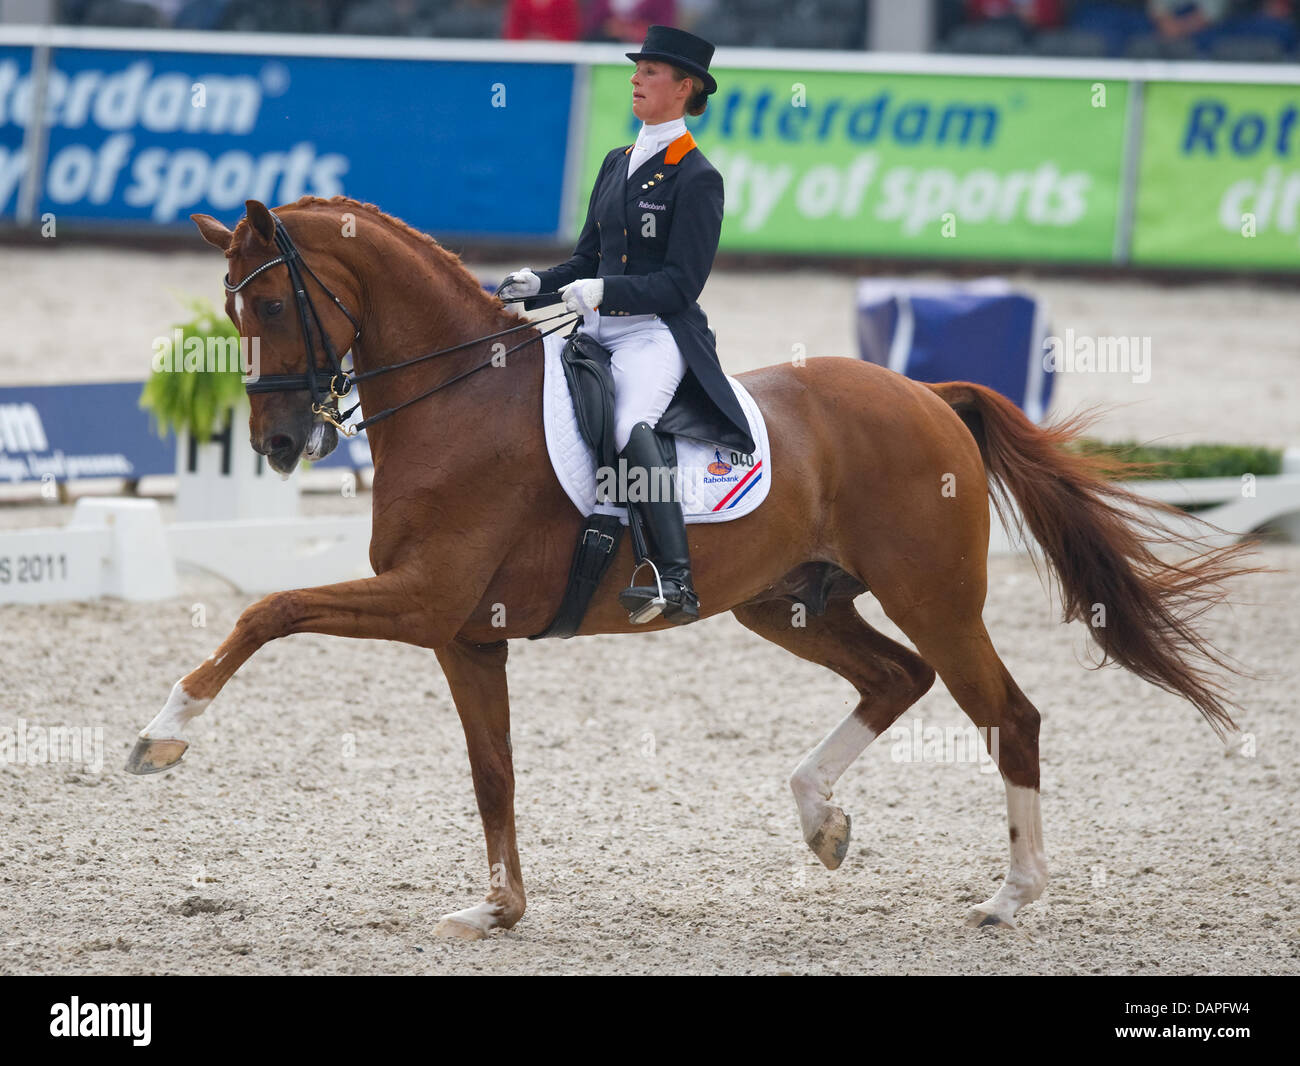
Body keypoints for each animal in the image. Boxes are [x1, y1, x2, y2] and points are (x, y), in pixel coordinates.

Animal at [126, 196, 1253, 935]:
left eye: (273, 309)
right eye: (230, 313)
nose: (277, 446)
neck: (458, 400)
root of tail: (930, 394)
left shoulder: (423, 600)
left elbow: (267, 610)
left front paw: (161, 736)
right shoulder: (465, 632)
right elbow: (493, 771)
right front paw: (499, 907)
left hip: (933, 595)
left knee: (1005, 713)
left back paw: (1012, 895)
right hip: (789, 603)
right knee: (897, 678)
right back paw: (820, 820)